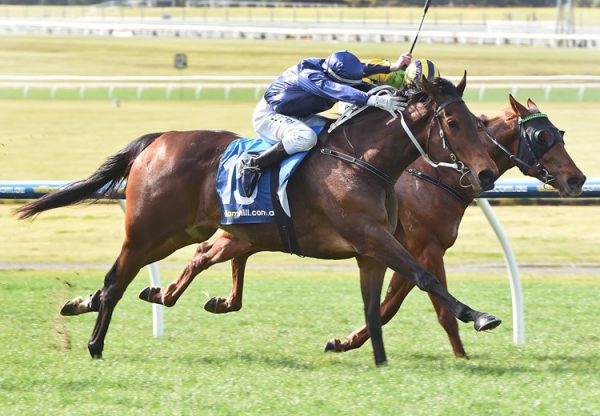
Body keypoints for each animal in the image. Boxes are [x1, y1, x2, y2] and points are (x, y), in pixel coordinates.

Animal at [17, 76, 502, 366]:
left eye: (478, 121)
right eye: (454, 122)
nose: (485, 174)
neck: (363, 162)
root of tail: (157, 141)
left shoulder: (371, 249)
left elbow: (377, 305)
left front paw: (370, 355)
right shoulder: (374, 237)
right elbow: (425, 277)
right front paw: (478, 316)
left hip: (184, 231)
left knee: (151, 270)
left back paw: (90, 303)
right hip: (149, 230)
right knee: (116, 278)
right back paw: (95, 342)